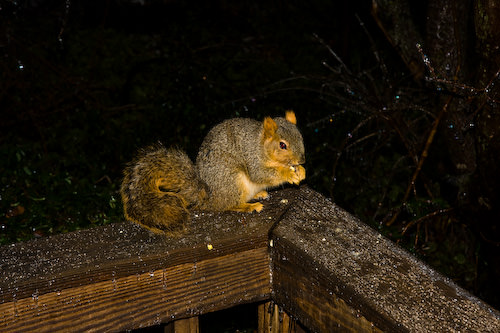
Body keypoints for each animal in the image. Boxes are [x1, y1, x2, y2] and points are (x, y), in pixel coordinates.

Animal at [120, 110, 304, 235]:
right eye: (282, 145)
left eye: (301, 138)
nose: (301, 160)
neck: (261, 145)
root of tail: (209, 196)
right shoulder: (253, 157)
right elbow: (261, 174)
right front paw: (289, 174)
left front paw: (301, 172)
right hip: (232, 181)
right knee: (227, 205)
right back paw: (247, 206)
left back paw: (259, 194)